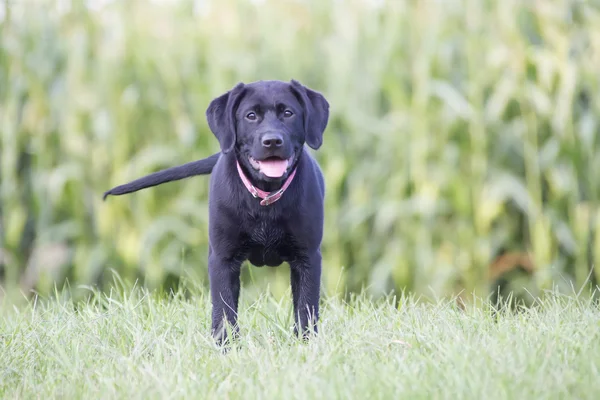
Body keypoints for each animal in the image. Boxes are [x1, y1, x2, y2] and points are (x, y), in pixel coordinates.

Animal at [103, 79, 328, 344]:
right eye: (251, 116)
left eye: (288, 113)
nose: (272, 141)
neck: (264, 198)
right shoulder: (222, 259)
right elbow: (223, 308)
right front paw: (225, 345)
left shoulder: (308, 258)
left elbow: (306, 307)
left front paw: (306, 344)